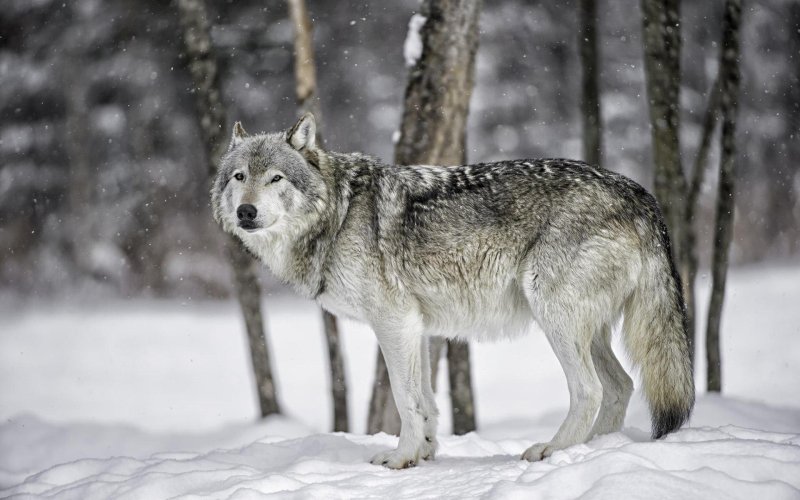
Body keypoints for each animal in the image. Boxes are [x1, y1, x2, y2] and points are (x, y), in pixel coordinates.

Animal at [211, 113, 692, 468]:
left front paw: (400, 458)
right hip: (587, 330)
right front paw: (423, 454)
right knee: (621, 386)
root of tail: (641, 195)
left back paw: (552, 451)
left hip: (555, 316)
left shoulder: (393, 323)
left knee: (590, 390)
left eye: (275, 179)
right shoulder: (416, 327)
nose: (246, 212)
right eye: (239, 176)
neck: (339, 214)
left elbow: (404, 398)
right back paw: (594, 450)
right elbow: (425, 400)